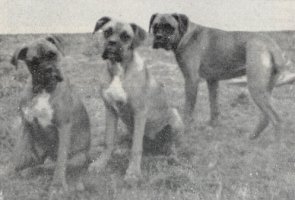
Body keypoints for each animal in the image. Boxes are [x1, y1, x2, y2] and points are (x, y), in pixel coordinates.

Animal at [10, 35, 91, 195]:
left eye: (53, 55)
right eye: (33, 61)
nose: (48, 69)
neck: (43, 90)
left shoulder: (63, 127)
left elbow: (60, 161)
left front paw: (58, 186)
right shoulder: (26, 124)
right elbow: (20, 150)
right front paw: (14, 168)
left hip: (78, 158)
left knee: (50, 165)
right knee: (39, 161)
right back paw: (27, 169)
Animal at [89, 17, 184, 184]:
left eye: (126, 36)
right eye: (107, 32)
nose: (112, 43)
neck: (118, 70)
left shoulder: (140, 113)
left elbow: (136, 148)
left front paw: (133, 173)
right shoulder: (110, 110)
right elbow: (108, 141)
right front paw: (101, 163)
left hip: (174, 116)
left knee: (171, 143)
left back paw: (172, 157)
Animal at [149, 13, 295, 139]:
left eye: (169, 27)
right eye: (156, 26)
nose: (159, 37)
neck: (186, 34)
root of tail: (270, 43)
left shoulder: (191, 80)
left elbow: (189, 107)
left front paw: (186, 127)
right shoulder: (212, 81)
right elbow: (214, 105)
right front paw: (213, 125)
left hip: (256, 88)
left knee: (276, 118)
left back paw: (276, 144)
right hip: (265, 89)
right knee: (266, 117)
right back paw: (252, 137)